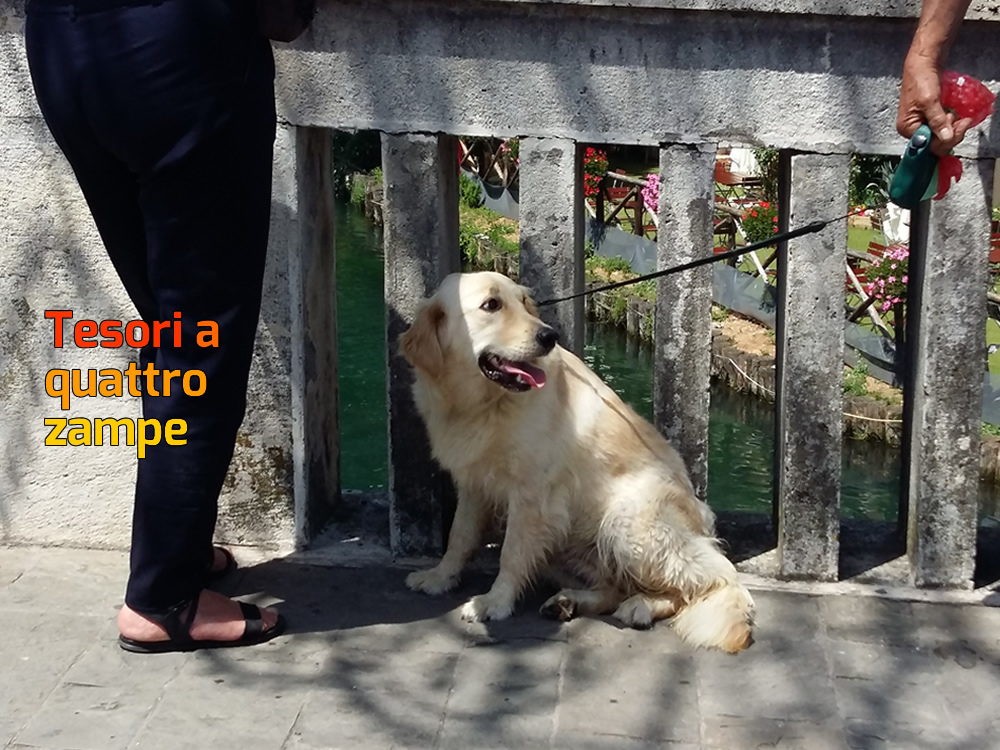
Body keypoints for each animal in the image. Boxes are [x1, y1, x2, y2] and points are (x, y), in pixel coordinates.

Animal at [398, 274, 756, 656]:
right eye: (491, 305)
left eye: (523, 302)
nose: (548, 336)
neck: (483, 403)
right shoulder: (474, 485)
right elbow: (459, 537)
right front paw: (439, 577)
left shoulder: (532, 496)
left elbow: (510, 553)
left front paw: (494, 602)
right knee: (617, 586)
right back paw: (569, 601)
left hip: (626, 522)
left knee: (712, 580)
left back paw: (641, 606)